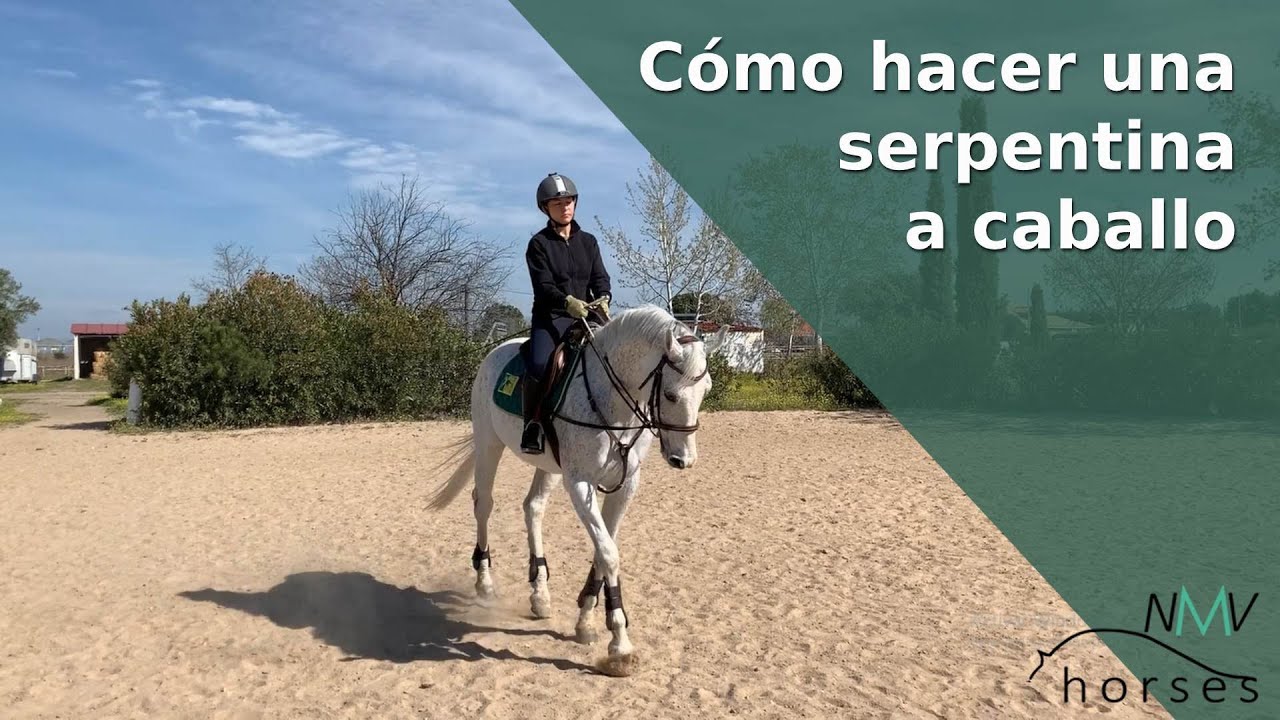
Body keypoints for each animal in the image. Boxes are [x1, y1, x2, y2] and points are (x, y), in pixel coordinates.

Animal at [426, 304, 728, 676]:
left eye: (706, 391)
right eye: (671, 394)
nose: (683, 459)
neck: (612, 400)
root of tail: (496, 351)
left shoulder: (626, 485)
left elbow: (603, 550)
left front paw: (586, 621)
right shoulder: (580, 482)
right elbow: (609, 553)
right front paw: (620, 645)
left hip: (547, 466)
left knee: (533, 506)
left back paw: (540, 595)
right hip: (488, 443)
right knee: (483, 504)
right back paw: (485, 583)